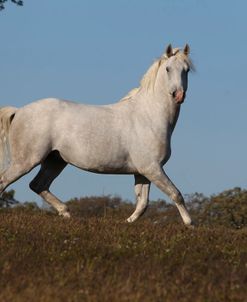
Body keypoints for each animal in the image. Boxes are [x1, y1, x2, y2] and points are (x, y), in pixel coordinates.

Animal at [0, 43, 193, 225]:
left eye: (187, 70)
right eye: (168, 68)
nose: (179, 95)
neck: (148, 115)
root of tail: (18, 111)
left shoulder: (143, 172)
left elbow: (142, 204)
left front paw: (126, 222)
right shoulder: (152, 168)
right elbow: (175, 194)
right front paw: (190, 224)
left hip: (55, 160)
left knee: (38, 185)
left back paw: (66, 213)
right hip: (26, 161)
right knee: (5, 181)